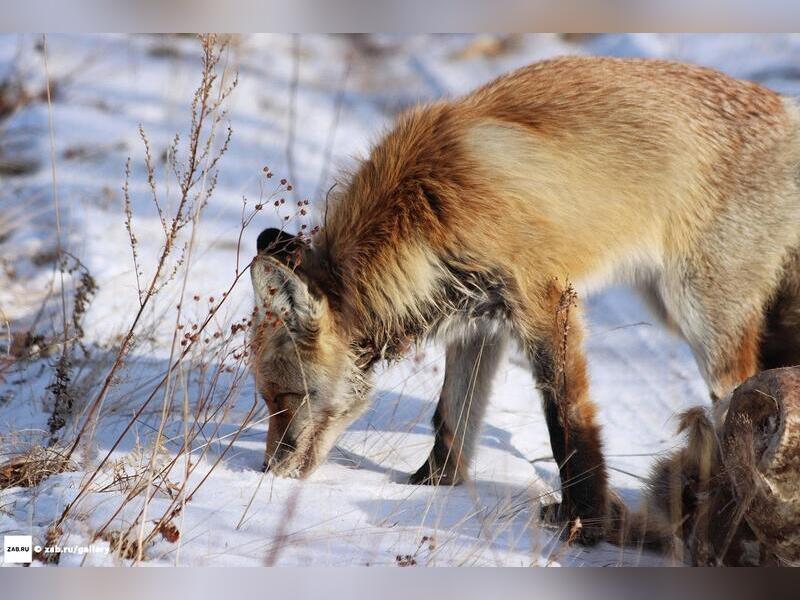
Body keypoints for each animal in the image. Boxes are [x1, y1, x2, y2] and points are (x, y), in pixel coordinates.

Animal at [248, 56, 800, 544]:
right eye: (268, 399)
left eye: (286, 397)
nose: (268, 471)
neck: (424, 208)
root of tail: (785, 107)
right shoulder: (478, 321)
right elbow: (451, 418)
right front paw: (433, 487)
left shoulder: (546, 304)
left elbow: (566, 424)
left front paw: (586, 523)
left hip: (700, 317)